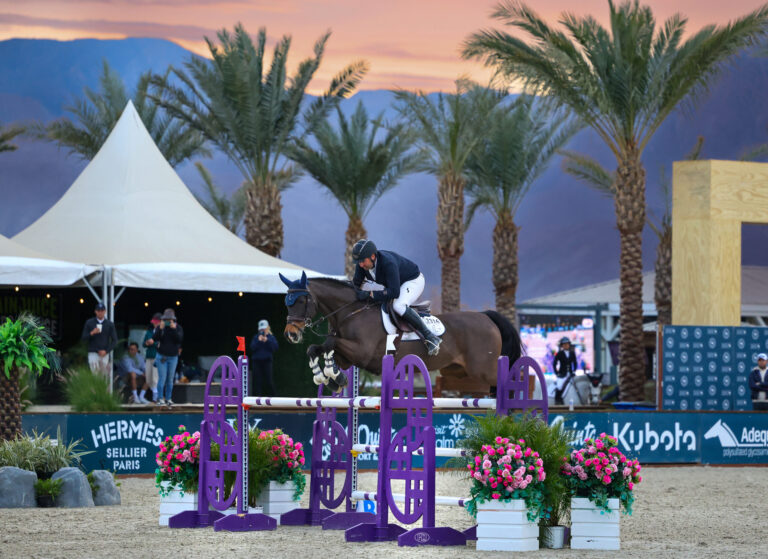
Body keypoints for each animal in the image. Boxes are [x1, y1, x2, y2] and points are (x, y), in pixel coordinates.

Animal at [278, 274, 520, 392]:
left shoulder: (362, 352)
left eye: (301, 301)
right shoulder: (348, 357)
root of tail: (486, 317)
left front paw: (331, 375)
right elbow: (316, 348)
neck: (350, 312)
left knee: (505, 384)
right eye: (286, 302)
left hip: (483, 370)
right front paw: (331, 377)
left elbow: (330, 344)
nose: (291, 335)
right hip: (459, 371)